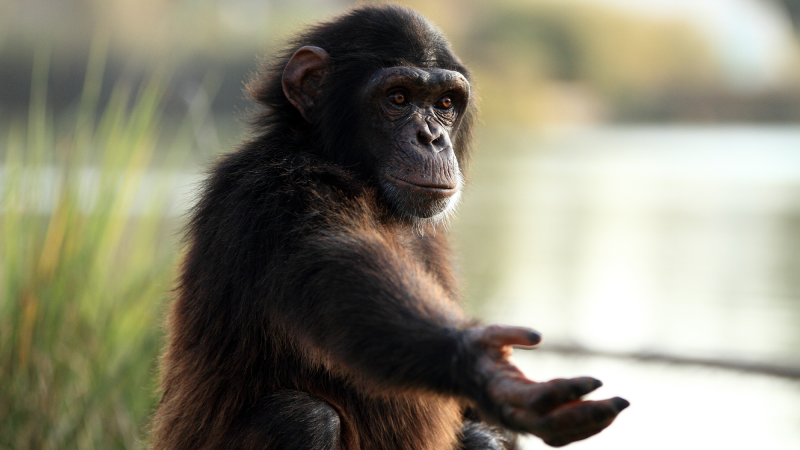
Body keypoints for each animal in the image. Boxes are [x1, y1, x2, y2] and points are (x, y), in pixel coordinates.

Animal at [148, 4, 624, 450]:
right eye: (397, 98)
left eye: (445, 104)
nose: (431, 137)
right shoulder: (281, 195)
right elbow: (333, 269)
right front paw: (478, 363)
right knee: (301, 417)